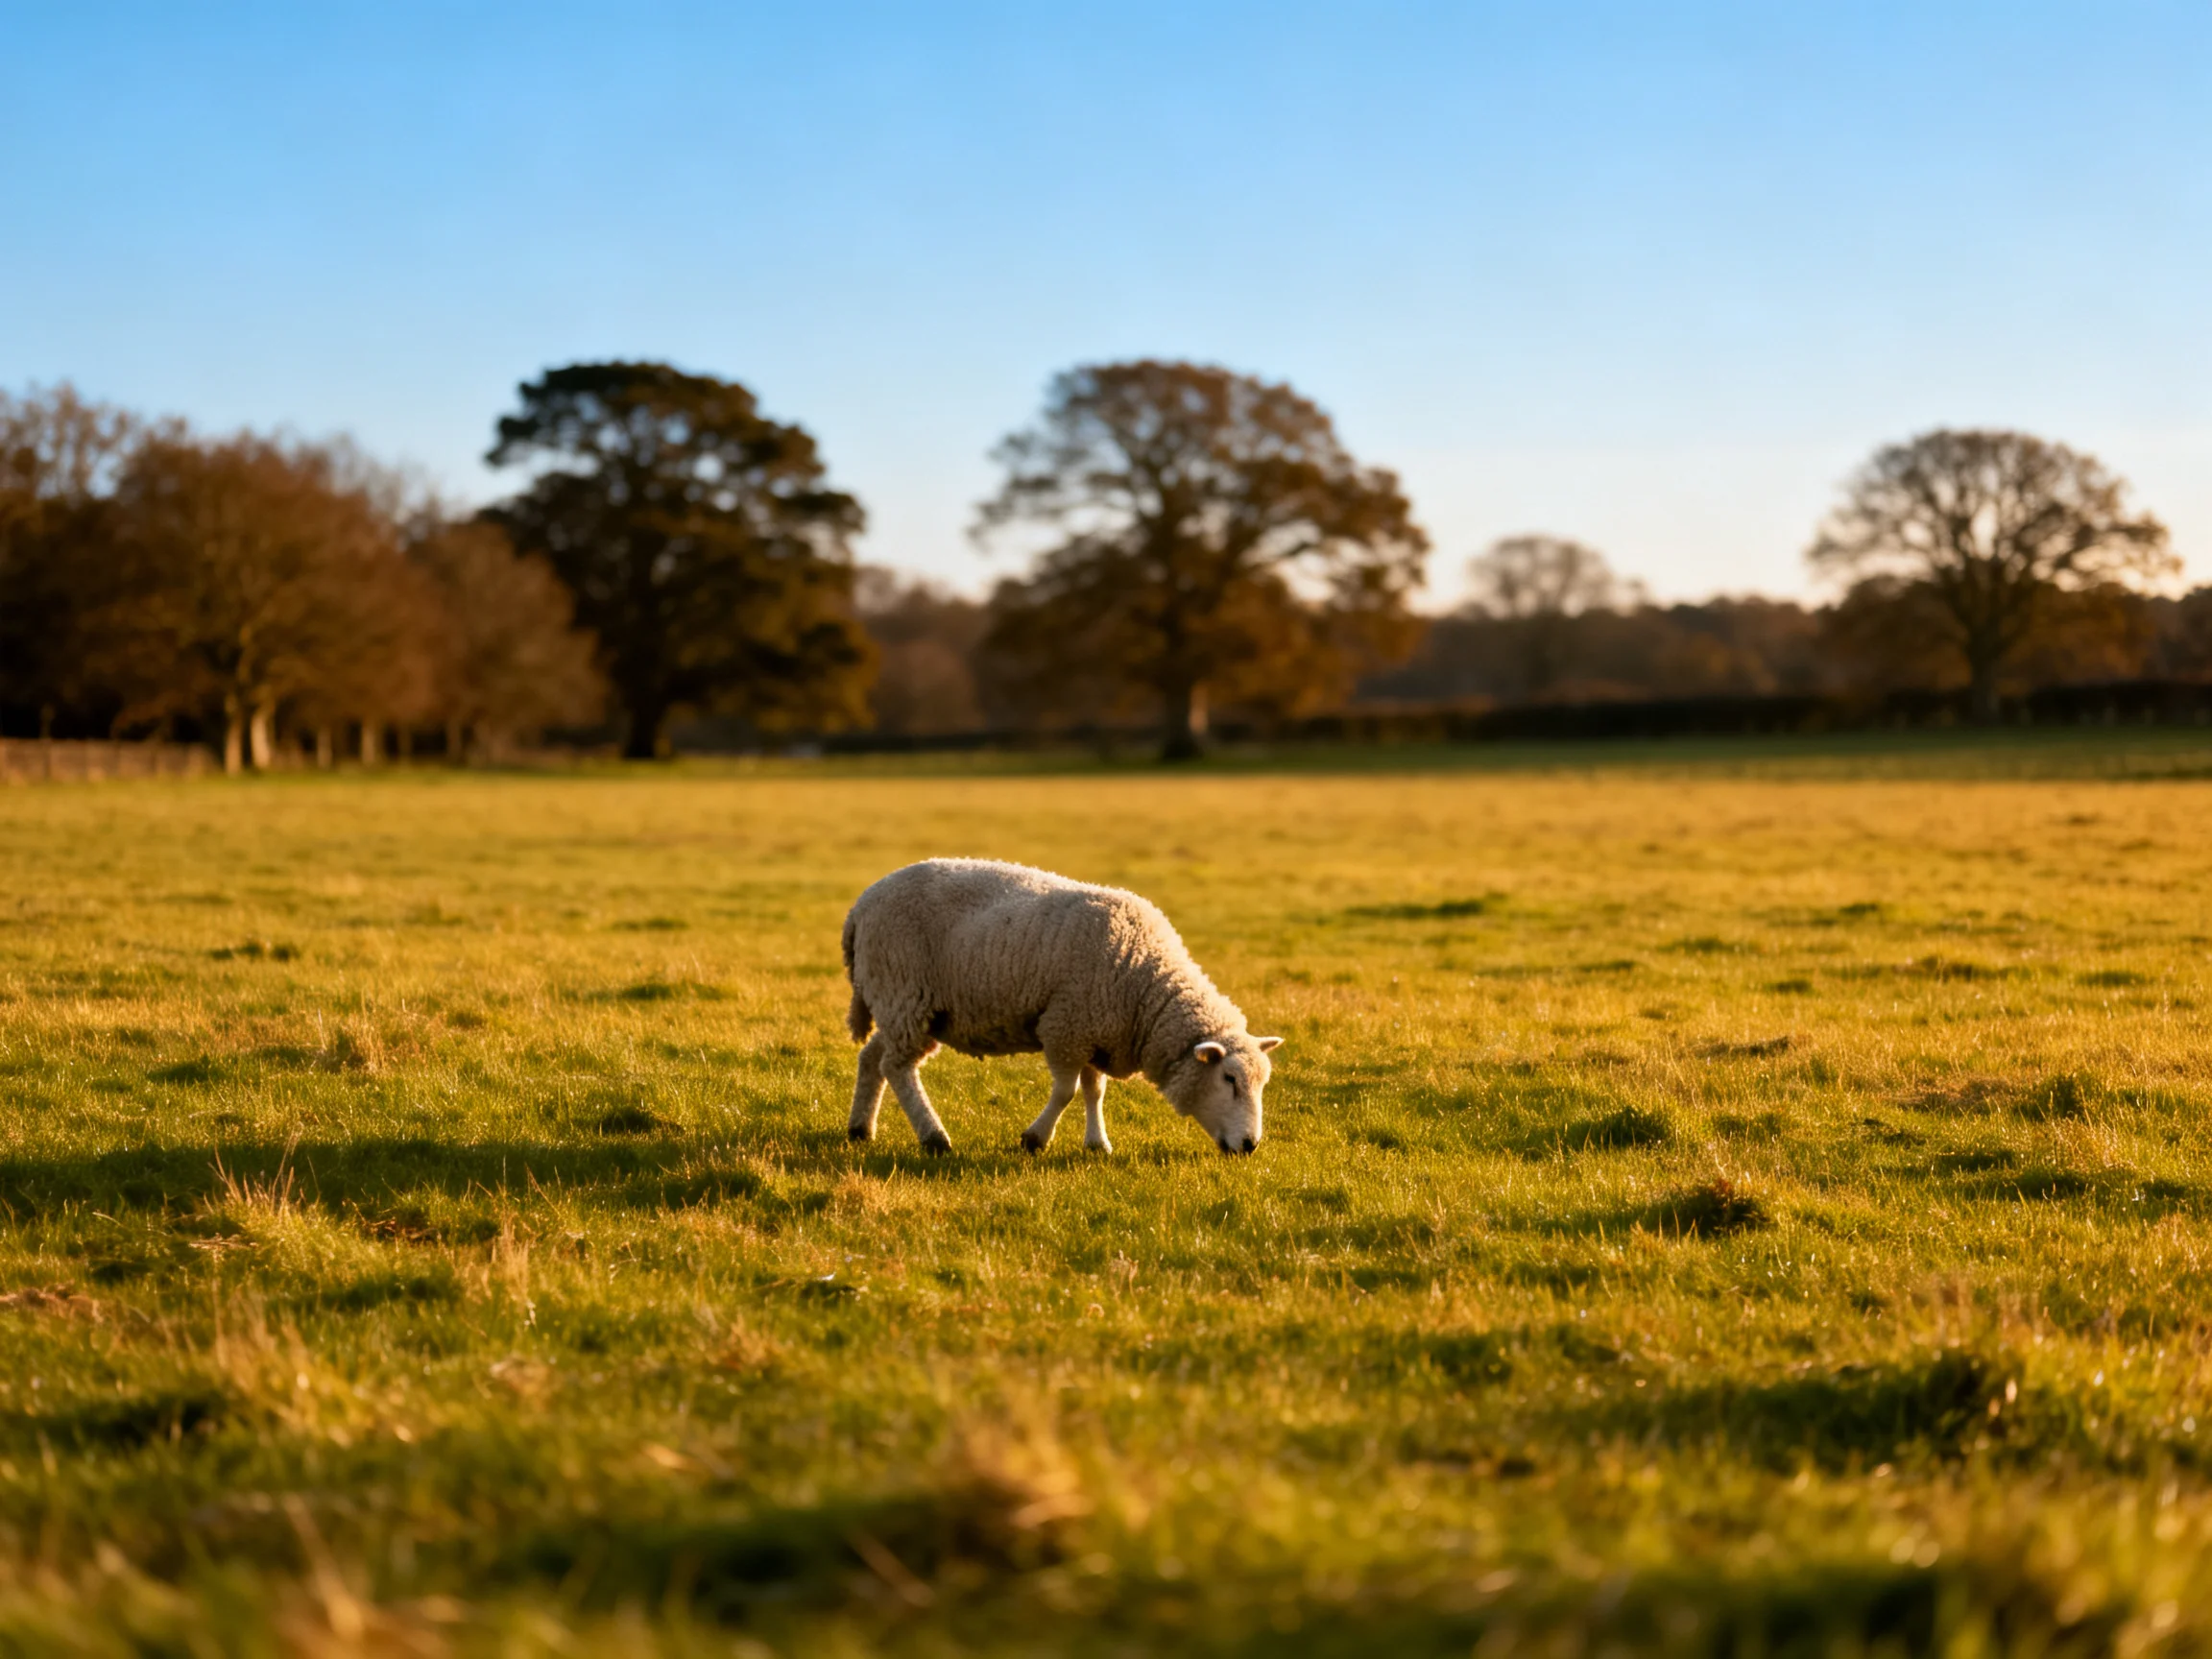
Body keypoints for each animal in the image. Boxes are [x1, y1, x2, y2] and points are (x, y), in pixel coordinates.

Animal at [841, 858, 1282, 1156]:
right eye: (1229, 1079)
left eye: (1262, 1083)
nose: (1250, 1145)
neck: (1145, 983)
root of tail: (861, 904)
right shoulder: (1065, 1026)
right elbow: (1067, 1092)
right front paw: (1035, 1138)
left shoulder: (1093, 1030)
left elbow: (1094, 1091)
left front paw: (1097, 1144)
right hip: (903, 990)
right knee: (899, 1068)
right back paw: (934, 1137)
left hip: (901, 1002)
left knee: (873, 1058)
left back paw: (861, 1128)